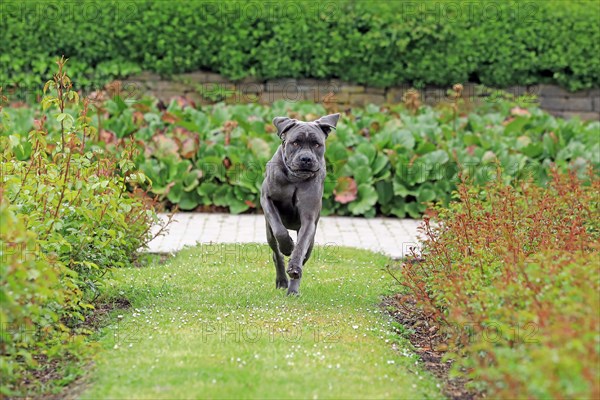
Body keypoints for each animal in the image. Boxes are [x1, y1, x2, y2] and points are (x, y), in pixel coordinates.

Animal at [260, 112, 340, 294]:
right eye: (295, 142)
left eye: (317, 144)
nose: (306, 158)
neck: (294, 178)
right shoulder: (267, 199)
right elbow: (280, 230)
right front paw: (288, 245)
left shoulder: (309, 219)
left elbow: (301, 246)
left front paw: (294, 266)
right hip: (268, 234)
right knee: (276, 253)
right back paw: (282, 280)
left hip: (312, 239)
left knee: (304, 255)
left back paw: (293, 288)